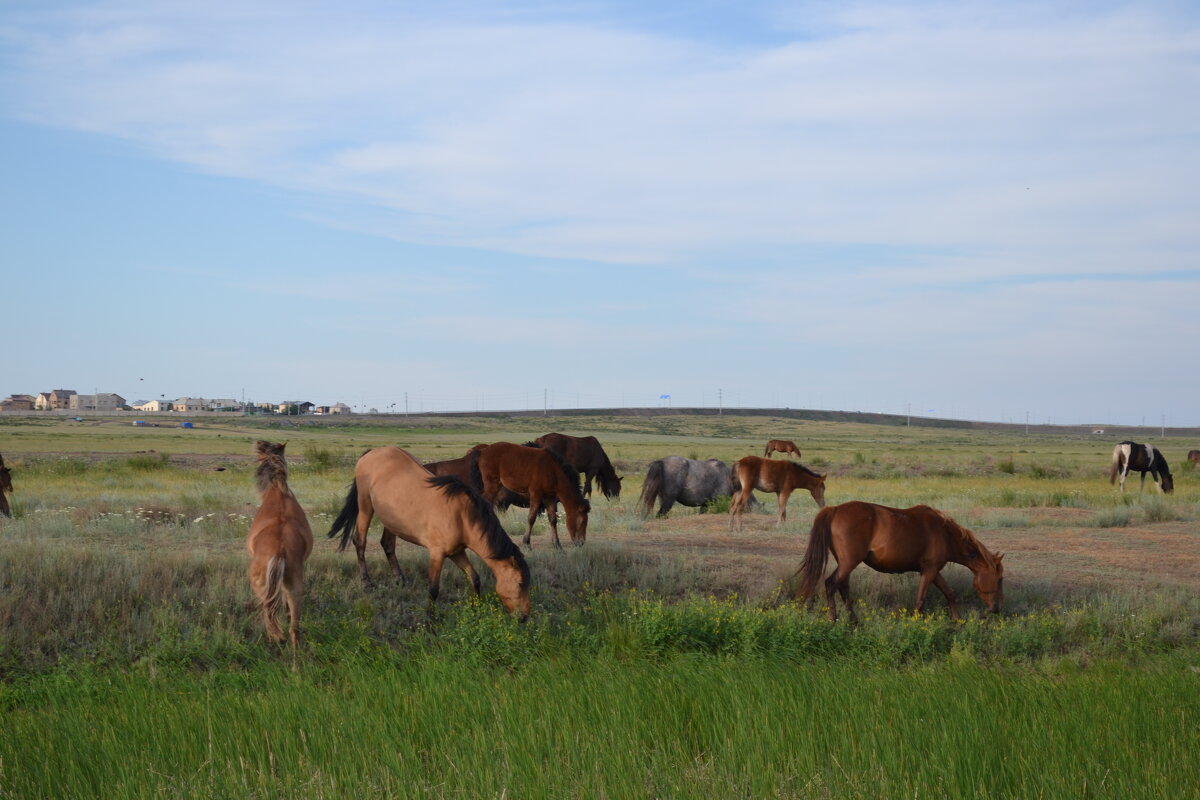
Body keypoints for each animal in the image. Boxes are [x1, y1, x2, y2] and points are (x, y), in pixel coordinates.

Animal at [244, 441, 314, 662]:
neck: (278, 493)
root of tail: (279, 550)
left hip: (260, 585)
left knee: (269, 615)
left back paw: (275, 640)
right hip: (294, 586)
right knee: (294, 627)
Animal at [331, 443, 532, 618]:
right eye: (520, 584)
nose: (523, 617)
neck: (461, 516)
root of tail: (371, 453)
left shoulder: (457, 552)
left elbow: (474, 578)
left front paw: (476, 608)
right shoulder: (437, 554)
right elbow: (433, 589)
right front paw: (431, 617)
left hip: (391, 520)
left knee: (387, 544)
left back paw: (399, 579)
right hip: (365, 506)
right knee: (360, 541)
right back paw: (366, 582)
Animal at [796, 501, 1003, 623]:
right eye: (1000, 579)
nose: (997, 608)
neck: (945, 533)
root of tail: (835, 510)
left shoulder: (934, 571)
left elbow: (950, 594)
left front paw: (958, 621)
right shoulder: (930, 570)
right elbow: (920, 599)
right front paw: (915, 623)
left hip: (846, 564)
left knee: (843, 588)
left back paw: (854, 621)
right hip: (848, 563)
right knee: (831, 584)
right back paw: (833, 619)